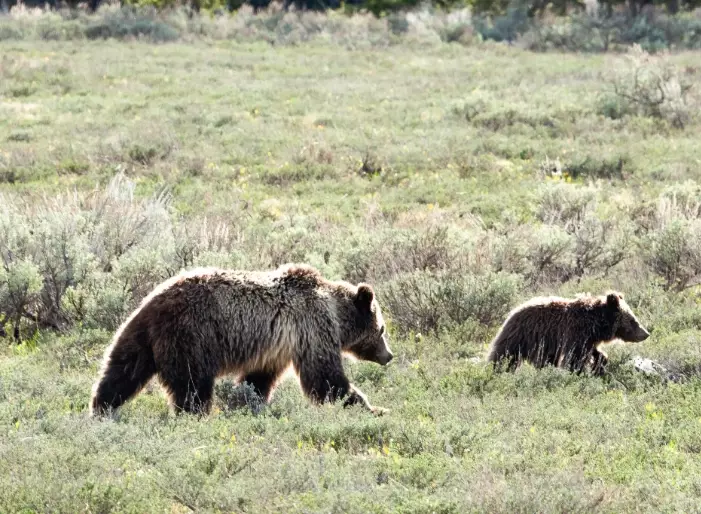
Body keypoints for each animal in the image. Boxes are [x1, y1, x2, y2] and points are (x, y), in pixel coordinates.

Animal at [90, 263, 393, 417]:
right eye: (382, 329)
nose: (389, 355)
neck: (336, 314)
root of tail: (153, 301)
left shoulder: (275, 348)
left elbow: (257, 379)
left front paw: (249, 402)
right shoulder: (312, 329)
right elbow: (325, 378)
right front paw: (372, 407)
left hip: (141, 334)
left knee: (122, 369)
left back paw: (101, 407)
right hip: (191, 335)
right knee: (192, 384)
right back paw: (195, 414)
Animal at [487, 291, 649, 375]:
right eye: (633, 320)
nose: (646, 333)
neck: (596, 323)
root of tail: (513, 312)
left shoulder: (588, 338)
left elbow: (594, 352)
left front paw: (600, 362)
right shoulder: (576, 332)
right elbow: (575, 357)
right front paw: (577, 372)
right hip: (523, 336)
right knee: (504, 355)